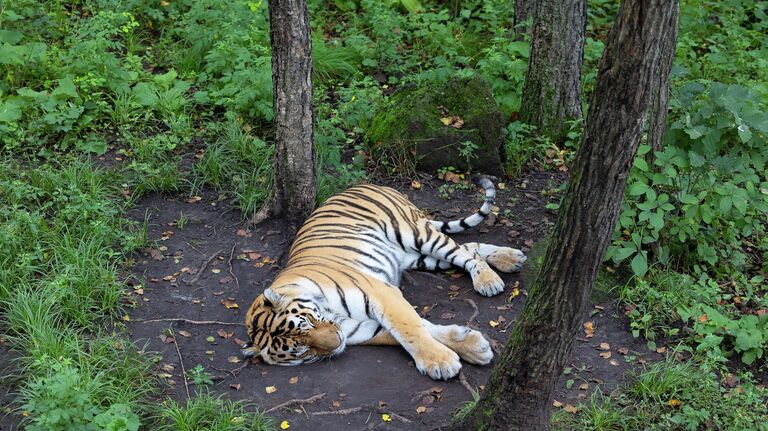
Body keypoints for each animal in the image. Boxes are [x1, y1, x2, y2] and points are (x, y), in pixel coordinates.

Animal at [243, 177, 524, 380]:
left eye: (309, 323)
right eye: (303, 350)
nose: (337, 342)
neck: (334, 317)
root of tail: (369, 184)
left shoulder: (382, 293)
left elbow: (409, 330)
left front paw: (440, 363)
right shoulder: (360, 328)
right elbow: (419, 329)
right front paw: (473, 347)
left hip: (415, 234)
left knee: (465, 252)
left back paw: (489, 280)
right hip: (414, 257)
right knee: (471, 247)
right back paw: (510, 258)